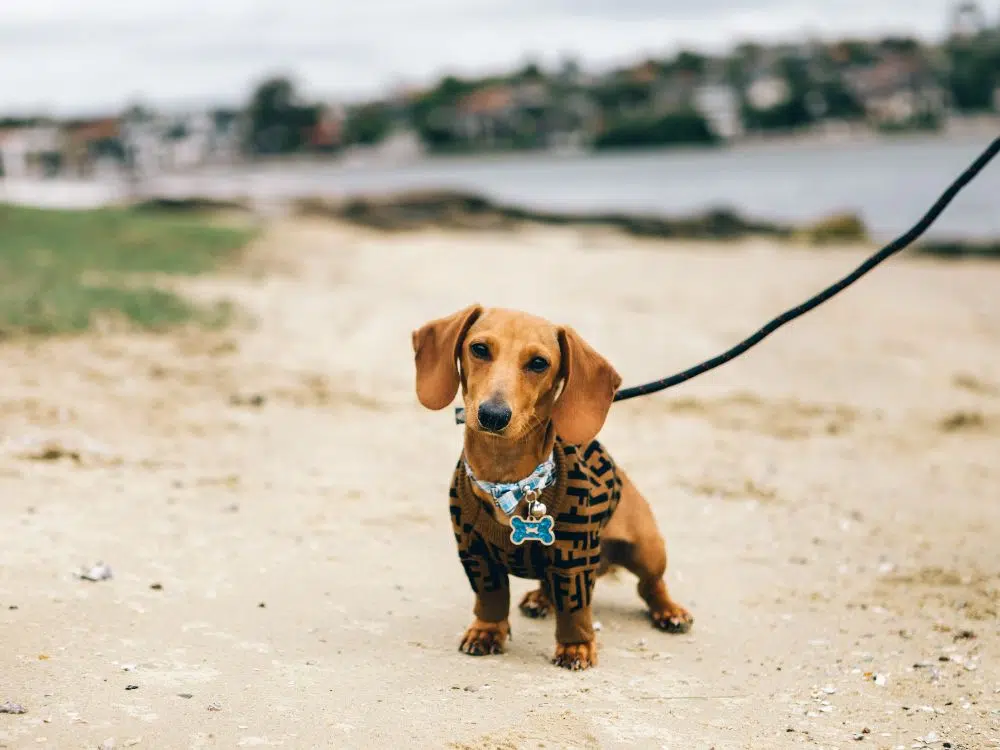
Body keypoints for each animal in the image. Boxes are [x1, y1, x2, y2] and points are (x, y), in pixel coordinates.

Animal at [410, 306, 692, 668]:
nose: (493, 415)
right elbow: (491, 597)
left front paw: (576, 647)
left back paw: (669, 611)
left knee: (650, 586)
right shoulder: (474, 553)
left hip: (647, 548)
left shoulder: (575, 558)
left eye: (539, 363)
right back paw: (541, 598)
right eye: (479, 349)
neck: (509, 479)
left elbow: (575, 609)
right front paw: (486, 631)